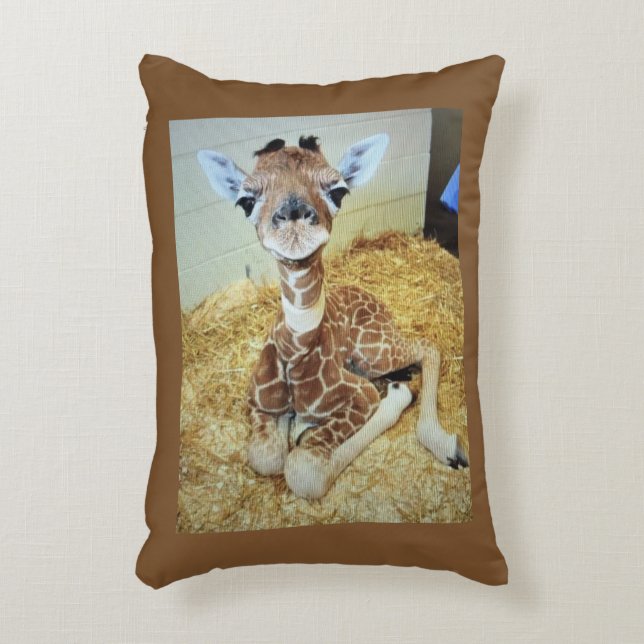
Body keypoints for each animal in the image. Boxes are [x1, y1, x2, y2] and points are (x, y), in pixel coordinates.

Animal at [197, 132, 469, 499]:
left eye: (338, 190)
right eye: (245, 200)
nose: (294, 218)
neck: (296, 351)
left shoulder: (361, 396)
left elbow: (304, 471)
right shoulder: (257, 403)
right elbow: (266, 456)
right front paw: (293, 426)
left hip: (373, 351)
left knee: (427, 346)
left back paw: (445, 443)